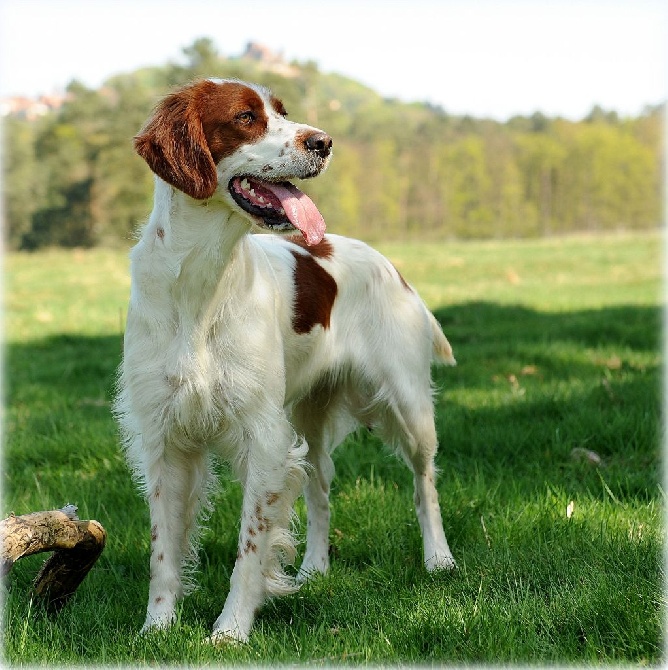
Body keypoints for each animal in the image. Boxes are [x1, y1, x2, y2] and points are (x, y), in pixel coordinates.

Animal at [116, 79, 460, 644]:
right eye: (245, 117)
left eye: (282, 111)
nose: (323, 142)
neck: (200, 284)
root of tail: (392, 266)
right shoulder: (163, 436)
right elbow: (163, 549)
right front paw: (157, 628)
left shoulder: (263, 435)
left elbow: (250, 544)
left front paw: (231, 630)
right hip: (310, 420)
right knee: (321, 491)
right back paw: (314, 570)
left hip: (408, 405)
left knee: (424, 483)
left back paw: (439, 559)